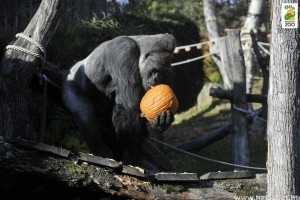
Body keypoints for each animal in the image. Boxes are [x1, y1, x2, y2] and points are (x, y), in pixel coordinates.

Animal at [62, 33, 176, 164]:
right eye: (155, 70)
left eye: (162, 73)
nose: (157, 79)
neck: (139, 48)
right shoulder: (124, 51)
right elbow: (128, 106)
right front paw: (130, 155)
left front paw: (159, 123)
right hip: (68, 82)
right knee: (84, 110)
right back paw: (101, 151)